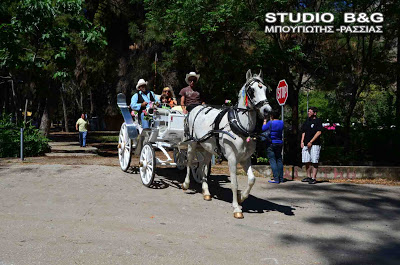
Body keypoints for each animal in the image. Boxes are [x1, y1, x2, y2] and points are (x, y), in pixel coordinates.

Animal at [182, 69, 272, 218]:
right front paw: (236, 208)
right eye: (252, 90)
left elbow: (252, 179)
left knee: (202, 167)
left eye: (265, 89)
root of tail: (194, 108)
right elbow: (234, 183)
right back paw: (185, 184)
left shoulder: (245, 159)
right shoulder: (231, 158)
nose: (267, 110)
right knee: (189, 162)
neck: (240, 125)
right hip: (192, 144)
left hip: (208, 148)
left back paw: (206, 192)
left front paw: (241, 197)